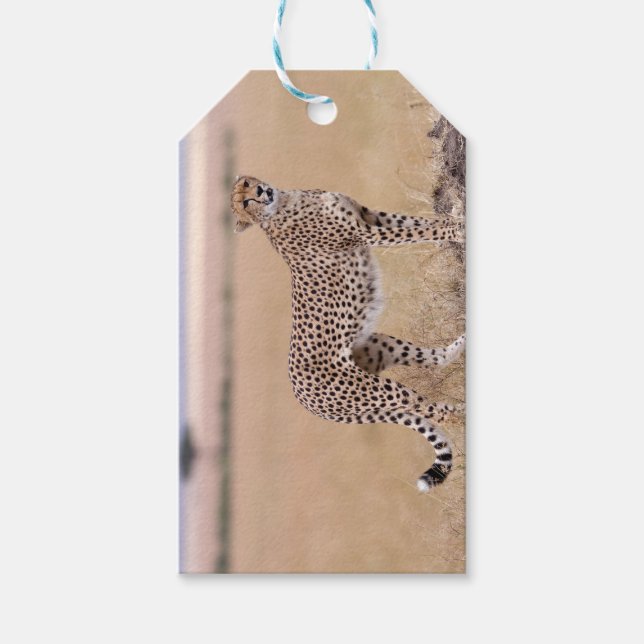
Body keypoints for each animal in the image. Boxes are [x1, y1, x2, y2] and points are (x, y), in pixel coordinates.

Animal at [231, 176, 465, 491]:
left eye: (247, 184)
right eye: (245, 203)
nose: (259, 192)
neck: (284, 202)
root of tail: (304, 401)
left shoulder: (370, 215)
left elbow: (416, 221)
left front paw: (454, 215)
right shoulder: (365, 233)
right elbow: (418, 230)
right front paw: (457, 229)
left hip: (379, 346)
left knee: (435, 361)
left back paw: (462, 342)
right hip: (375, 390)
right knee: (431, 411)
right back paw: (464, 411)